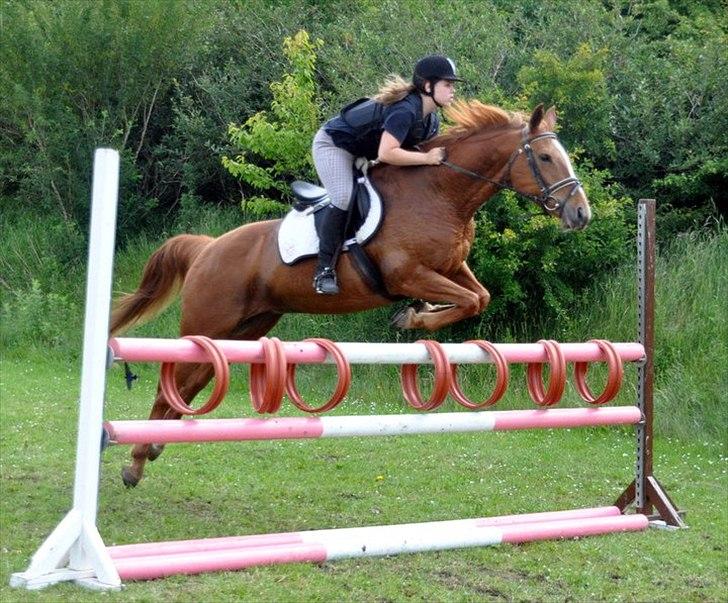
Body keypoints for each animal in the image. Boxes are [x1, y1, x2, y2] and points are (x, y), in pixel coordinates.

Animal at [112, 100, 592, 486]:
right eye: (546, 157)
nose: (581, 215)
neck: (440, 194)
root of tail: (207, 247)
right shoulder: (407, 274)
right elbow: (468, 300)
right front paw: (413, 316)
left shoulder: (452, 268)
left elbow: (479, 297)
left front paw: (418, 314)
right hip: (206, 323)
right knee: (170, 384)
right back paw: (135, 463)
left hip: (243, 330)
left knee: (190, 383)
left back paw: (155, 446)